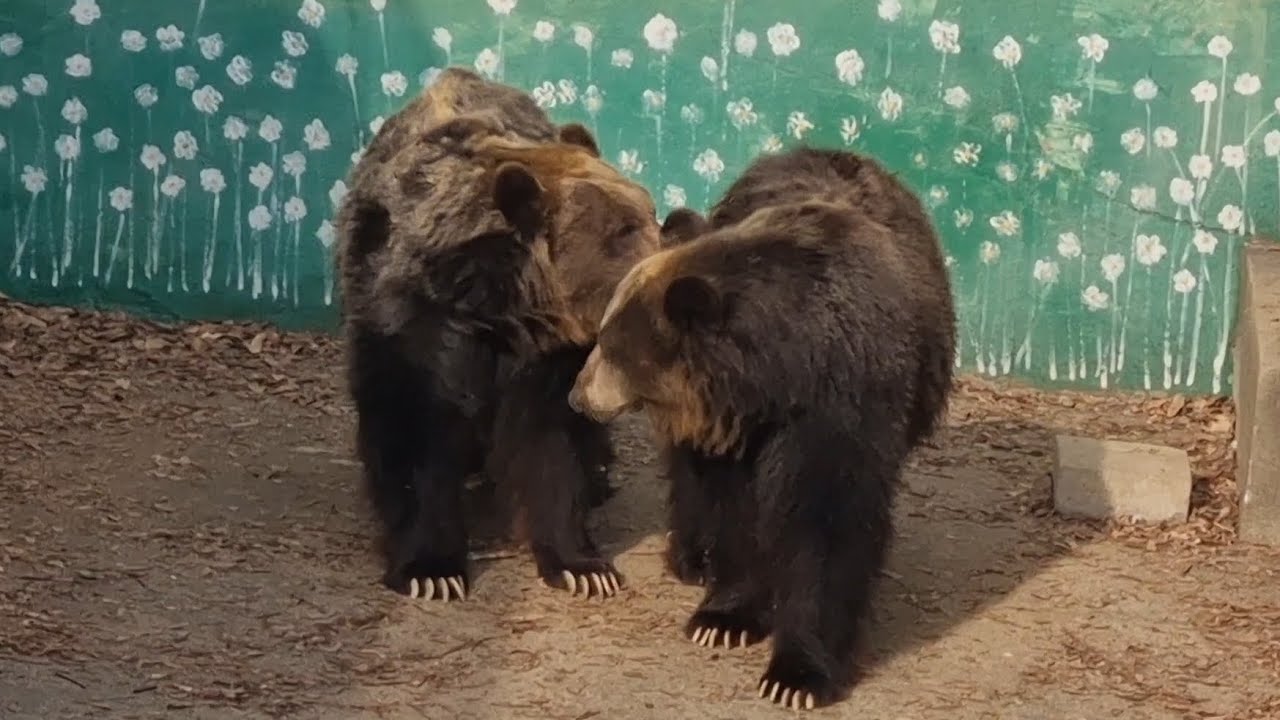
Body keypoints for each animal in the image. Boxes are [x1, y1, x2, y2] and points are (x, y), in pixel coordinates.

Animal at [336, 66, 662, 603]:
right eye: (621, 231)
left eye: (650, 215)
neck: (499, 307)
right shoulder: (413, 327)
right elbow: (412, 433)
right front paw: (431, 570)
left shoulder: (550, 356)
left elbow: (553, 444)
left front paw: (582, 566)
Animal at [566, 146, 956, 709]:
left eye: (612, 345)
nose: (578, 395)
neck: (782, 371)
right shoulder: (732, 427)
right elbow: (735, 511)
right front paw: (723, 617)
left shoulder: (846, 403)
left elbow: (824, 526)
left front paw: (795, 675)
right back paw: (692, 557)